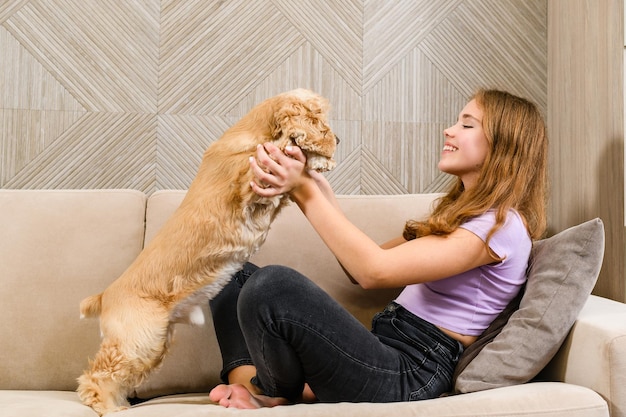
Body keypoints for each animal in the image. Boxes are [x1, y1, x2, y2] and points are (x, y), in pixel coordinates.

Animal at [77, 88, 336, 412]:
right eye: (320, 117)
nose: (338, 140)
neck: (253, 130)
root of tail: (104, 296)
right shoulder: (249, 182)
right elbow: (273, 153)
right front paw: (315, 155)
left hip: (151, 345)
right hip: (136, 340)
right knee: (96, 377)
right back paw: (109, 407)